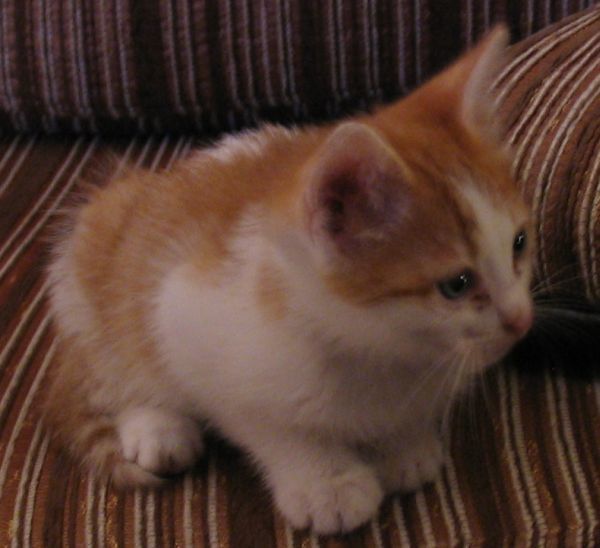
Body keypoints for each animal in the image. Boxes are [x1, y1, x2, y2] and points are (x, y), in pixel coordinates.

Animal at [47, 26, 536, 536]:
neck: (378, 343)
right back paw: (157, 427)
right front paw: (326, 482)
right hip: (91, 263)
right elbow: (265, 422)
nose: (521, 320)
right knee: (112, 370)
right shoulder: (187, 321)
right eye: (456, 284)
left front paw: (402, 444)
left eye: (519, 243)